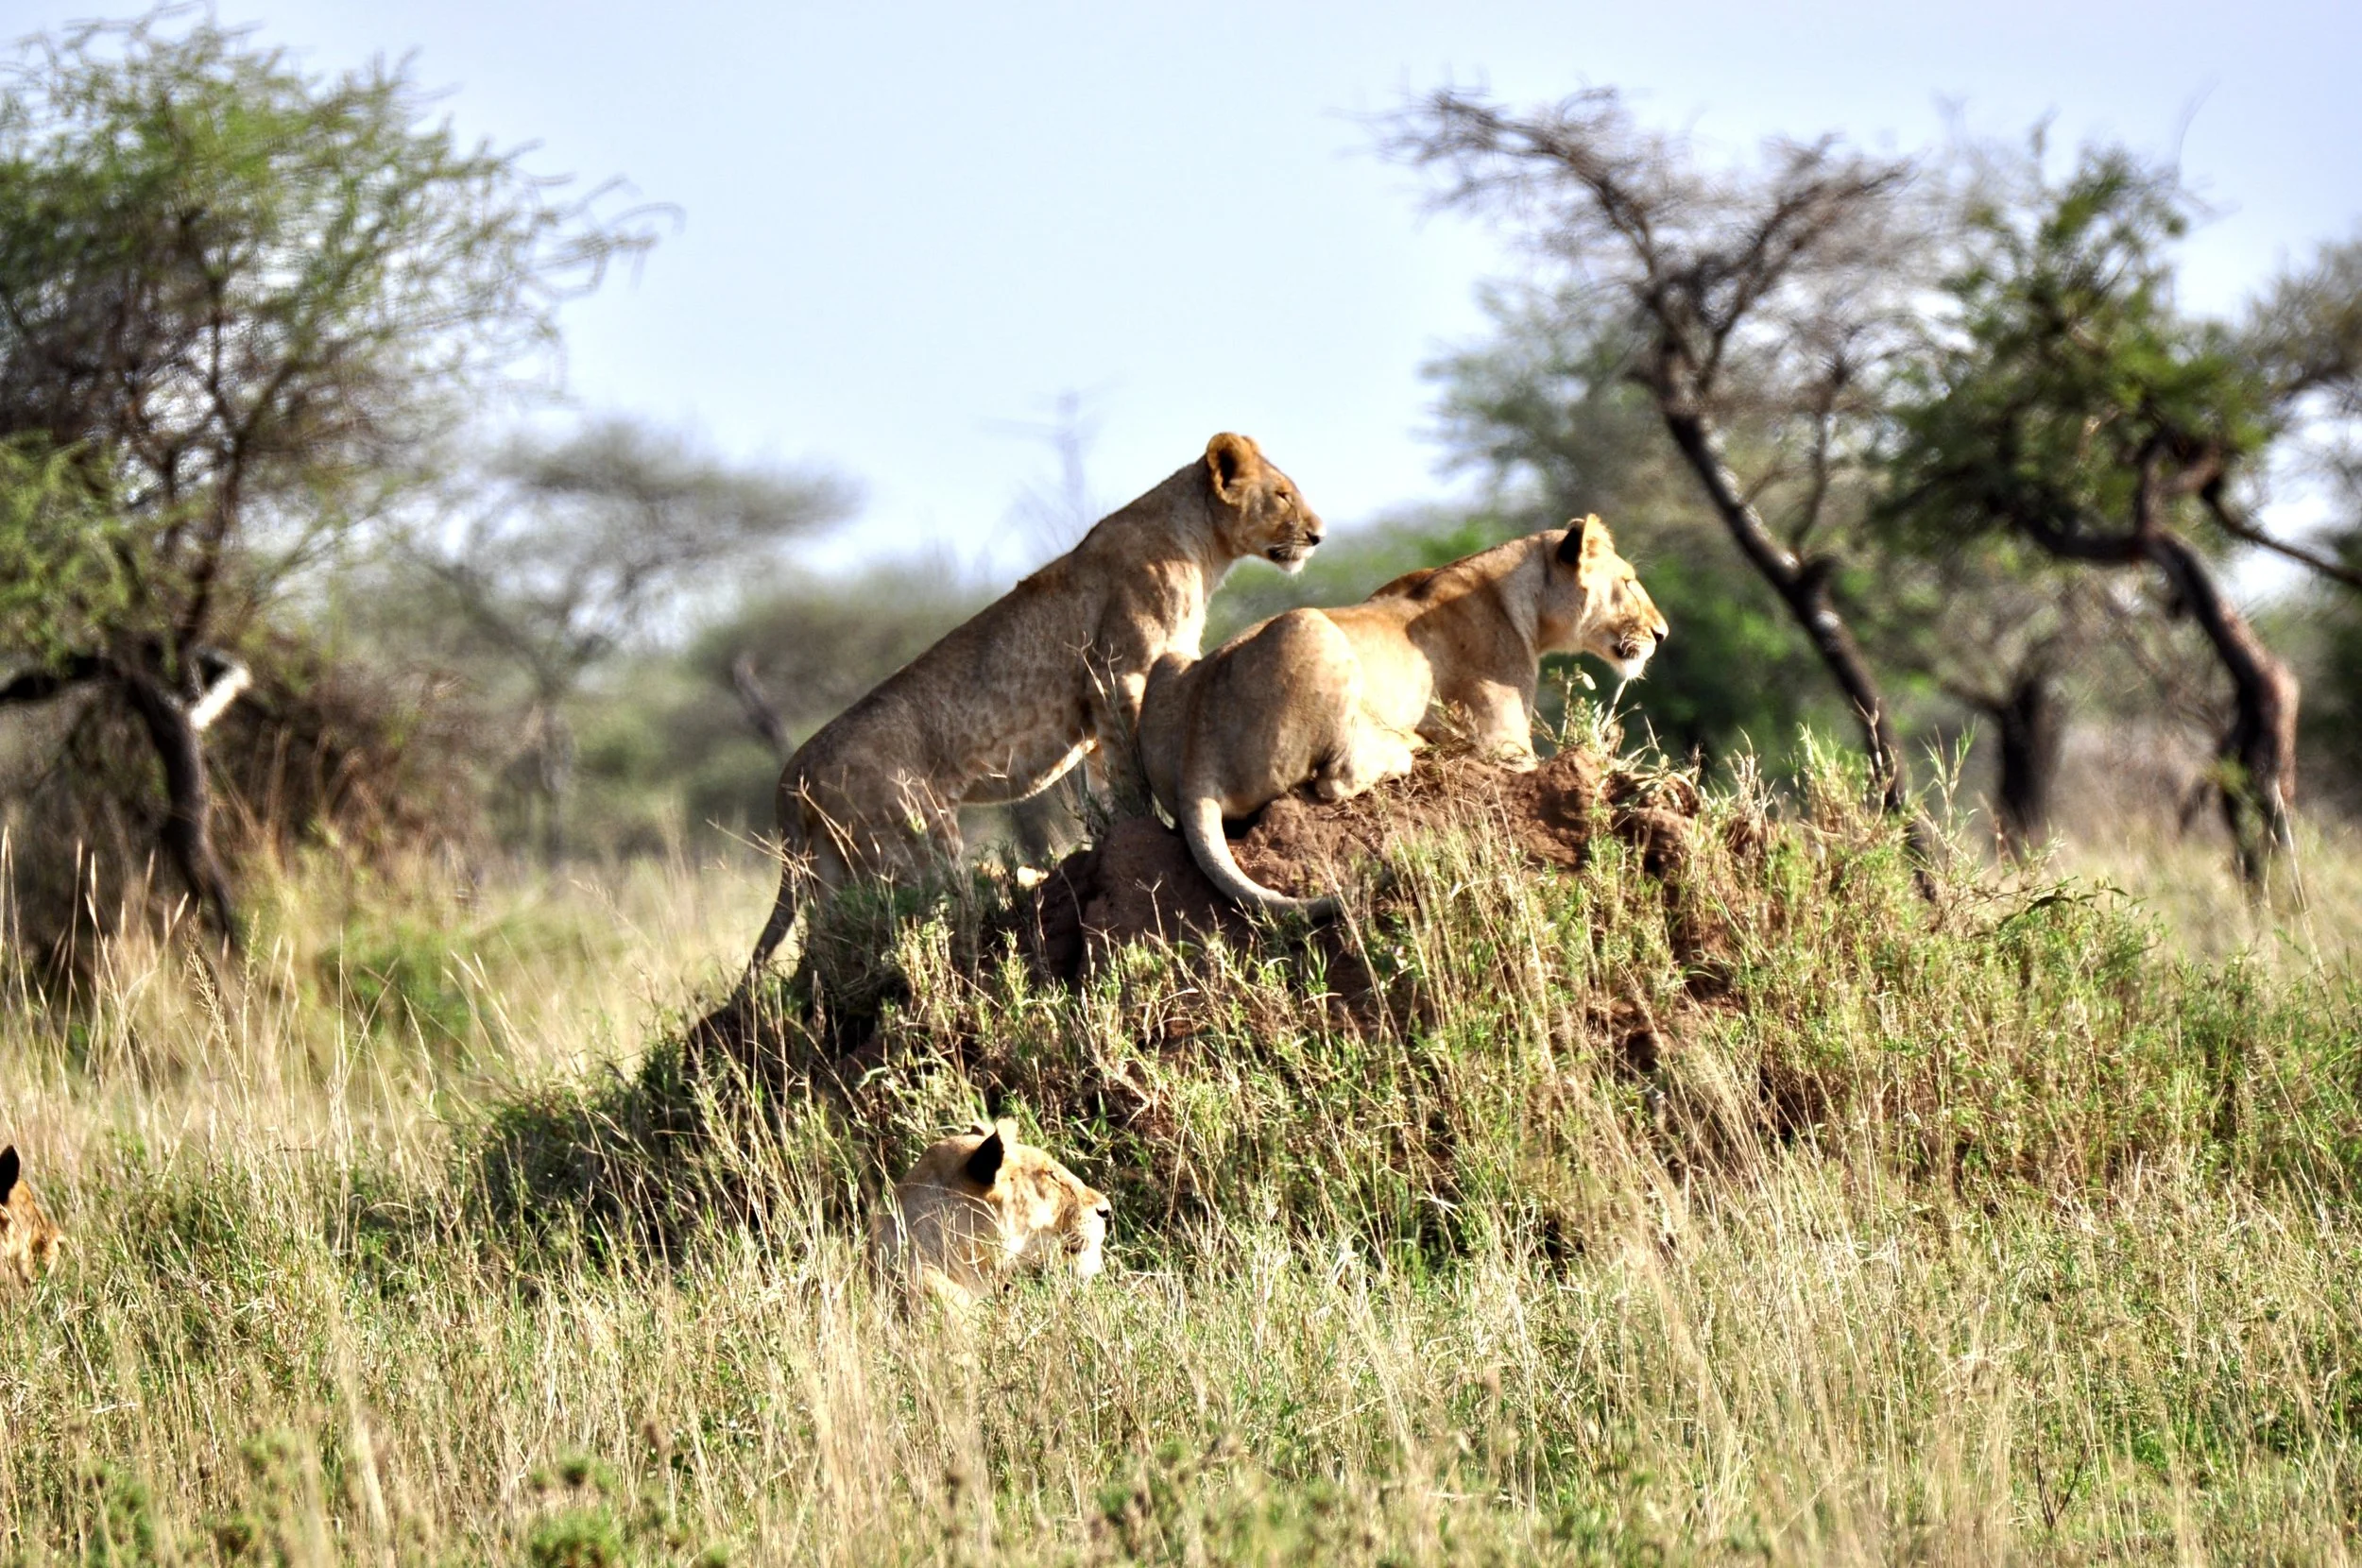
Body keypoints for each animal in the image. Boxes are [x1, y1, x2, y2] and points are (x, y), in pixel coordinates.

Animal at [743, 433, 1323, 982]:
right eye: (1282, 495)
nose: (1318, 535)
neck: (1201, 543)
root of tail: (793, 768)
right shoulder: (1120, 676)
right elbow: (1133, 778)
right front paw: (1149, 833)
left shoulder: (1096, 712)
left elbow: (1107, 790)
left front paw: (1113, 837)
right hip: (919, 844)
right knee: (926, 920)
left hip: (833, 871)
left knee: (824, 955)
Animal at [1138, 516, 1667, 912]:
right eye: (1628, 582)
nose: (1662, 633)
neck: (1520, 596)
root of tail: (1195, 761)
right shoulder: (1504, 748)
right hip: (1310, 626)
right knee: (1337, 778)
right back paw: (1406, 747)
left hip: (1170, 661)